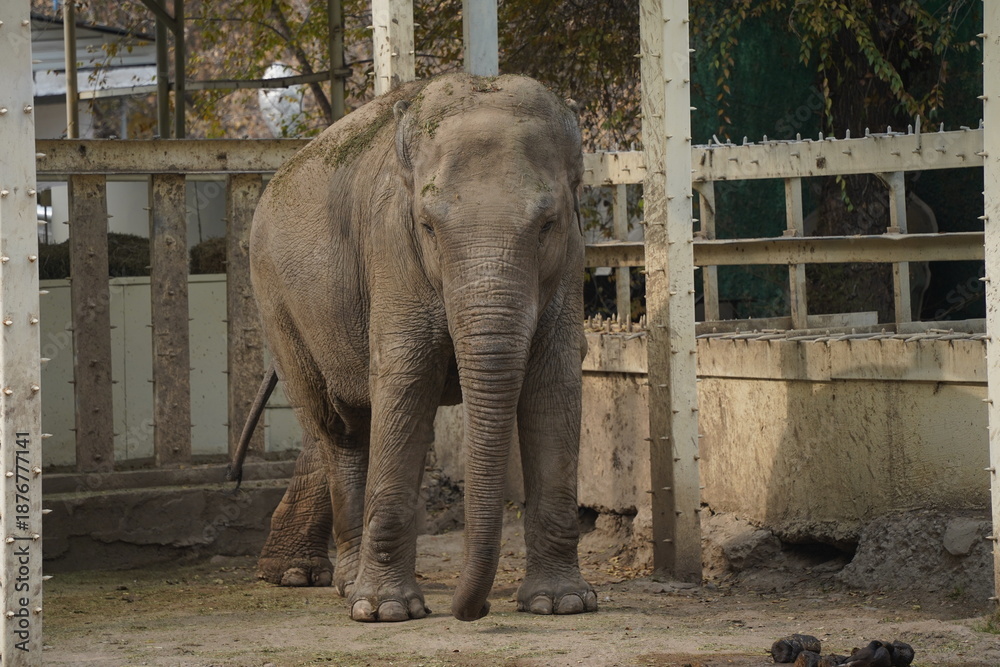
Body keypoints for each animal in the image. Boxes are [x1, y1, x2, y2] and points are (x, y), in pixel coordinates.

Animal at [238, 73, 597, 623]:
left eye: (547, 225)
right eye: (428, 227)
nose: (473, 609)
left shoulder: (571, 259)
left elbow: (553, 387)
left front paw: (563, 604)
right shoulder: (391, 248)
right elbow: (407, 381)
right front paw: (385, 612)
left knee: (348, 423)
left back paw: (309, 574)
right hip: (277, 302)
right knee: (339, 428)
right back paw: (339, 584)